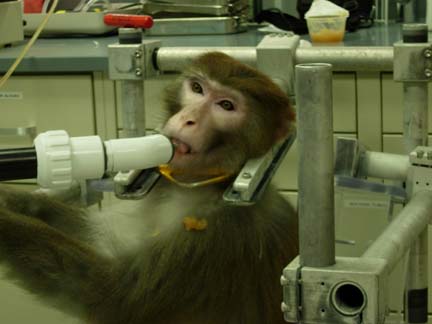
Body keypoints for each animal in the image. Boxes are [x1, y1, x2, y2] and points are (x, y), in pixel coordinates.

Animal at [0, 52, 296, 322]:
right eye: (197, 89)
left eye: (226, 105)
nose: (188, 119)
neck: (193, 187)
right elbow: (95, 235)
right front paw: (12, 200)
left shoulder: (223, 233)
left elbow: (106, 294)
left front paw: (5, 220)